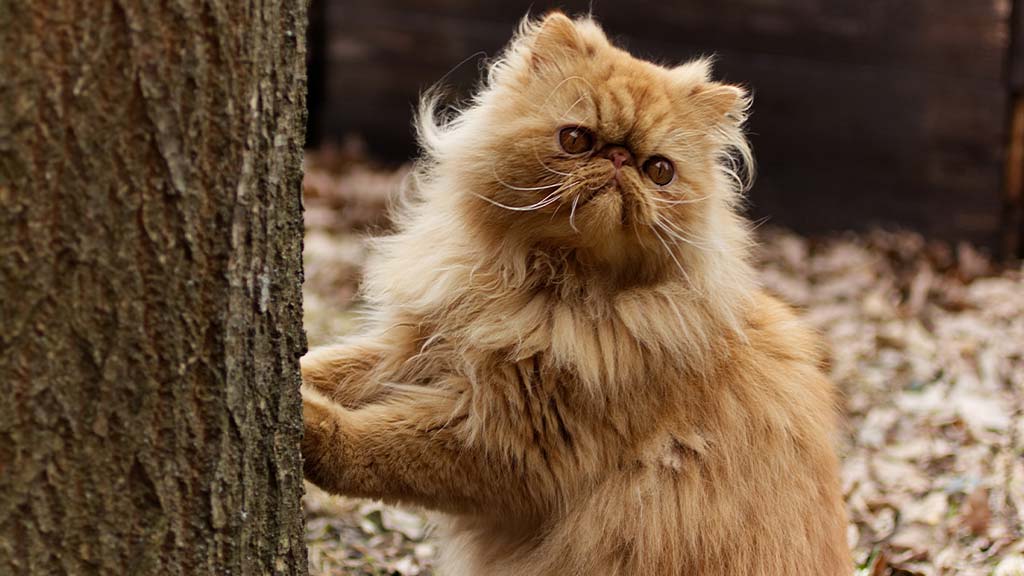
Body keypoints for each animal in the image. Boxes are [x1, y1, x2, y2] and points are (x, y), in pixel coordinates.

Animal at [301, 11, 847, 569]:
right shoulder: (417, 347)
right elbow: (332, 365)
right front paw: (298, 378)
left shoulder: (514, 442)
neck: (542, 289)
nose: (619, 160)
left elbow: (374, 444)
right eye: (576, 141)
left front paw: (309, 420)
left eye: (659, 170)